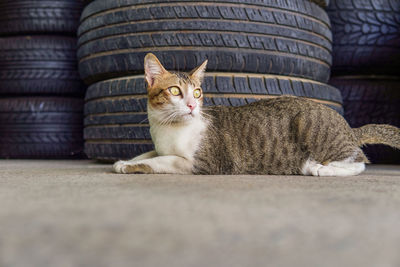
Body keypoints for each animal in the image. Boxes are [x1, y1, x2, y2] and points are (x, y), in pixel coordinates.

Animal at [112, 53, 400, 177]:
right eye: (174, 90)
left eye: (197, 92)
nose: (192, 106)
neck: (167, 129)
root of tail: (349, 127)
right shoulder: (160, 146)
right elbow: (149, 154)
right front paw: (126, 159)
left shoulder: (205, 163)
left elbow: (162, 161)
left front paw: (127, 165)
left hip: (311, 127)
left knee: (360, 160)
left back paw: (319, 168)